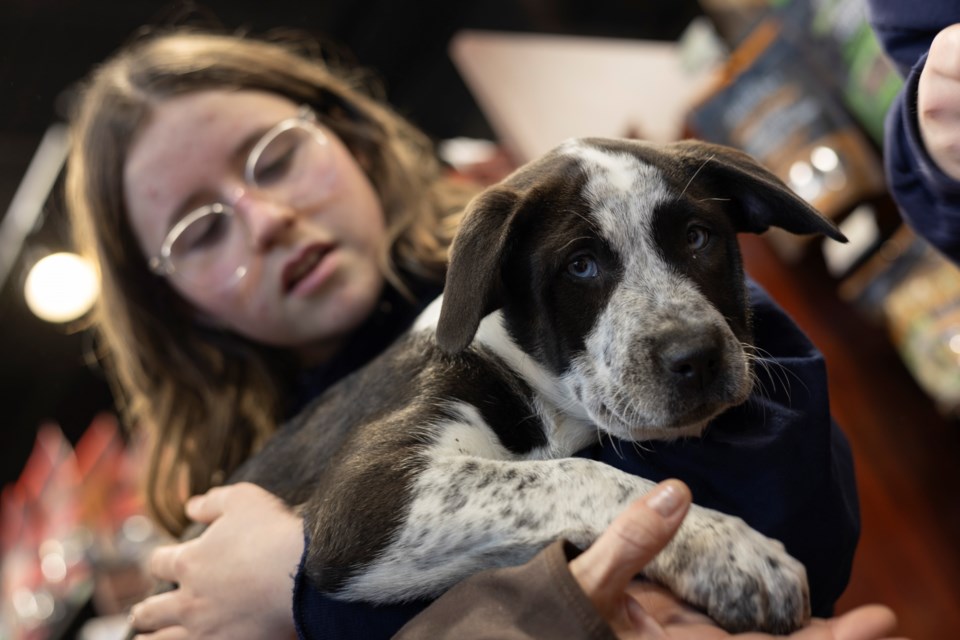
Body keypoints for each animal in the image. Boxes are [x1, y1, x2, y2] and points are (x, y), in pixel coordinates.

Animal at [234, 138, 848, 632]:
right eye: (580, 266)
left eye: (699, 238)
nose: (696, 356)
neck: (541, 395)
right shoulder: (361, 500)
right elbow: (579, 475)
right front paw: (726, 549)